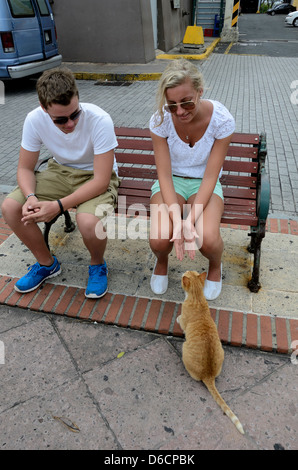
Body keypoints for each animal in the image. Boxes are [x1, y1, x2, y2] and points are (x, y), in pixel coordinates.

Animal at [177, 270, 244, 436]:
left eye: (185, 274)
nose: (183, 272)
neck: (197, 297)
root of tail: (209, 375)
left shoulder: (183, 321)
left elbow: (179, 320)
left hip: (184, 347)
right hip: (222, 351)